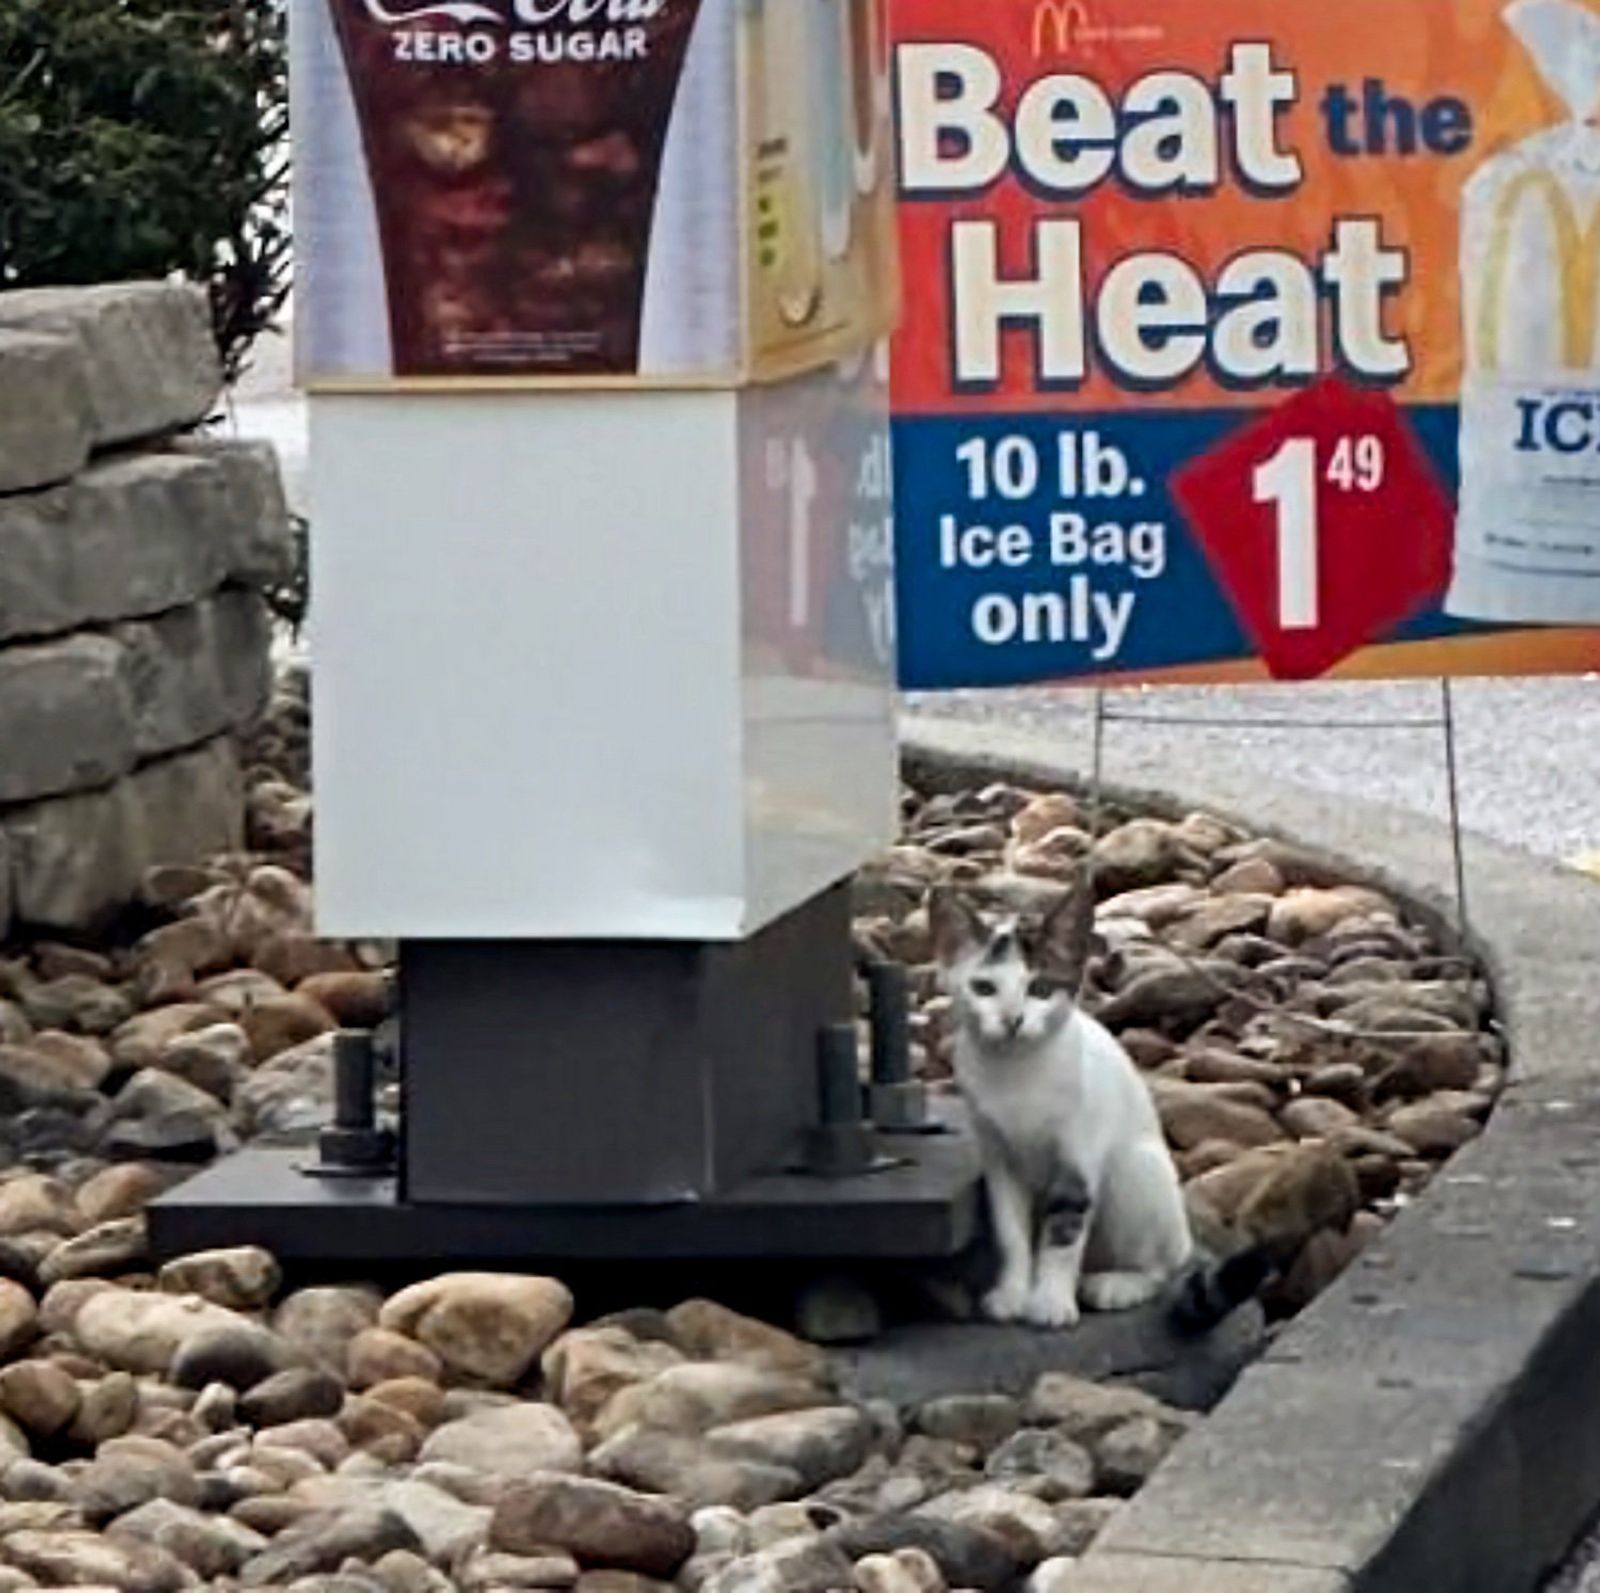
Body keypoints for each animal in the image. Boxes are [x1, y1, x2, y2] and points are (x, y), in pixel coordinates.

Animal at [928, 882, 1260, 1330]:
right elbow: (1011, 1232)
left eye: (1040, 988)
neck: (1016, 1072)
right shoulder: (998, 1159)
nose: (1013, 1020)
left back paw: (1116, 1285)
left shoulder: (1078, 1158)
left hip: (1134, 1172)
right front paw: (1013, 1293)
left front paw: (1049, 1302)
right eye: (983, 988)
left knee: (1161, 1267)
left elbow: (1062, 1234)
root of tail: (1186, 1236)